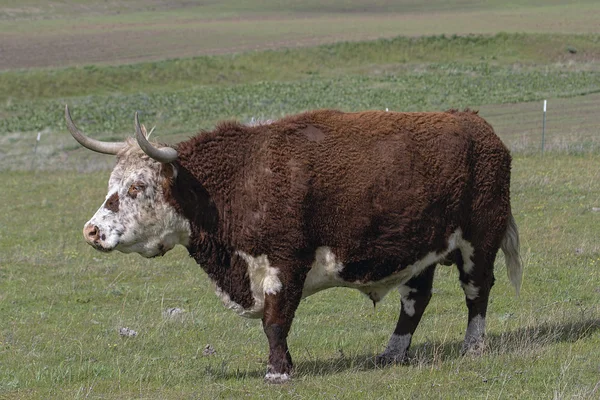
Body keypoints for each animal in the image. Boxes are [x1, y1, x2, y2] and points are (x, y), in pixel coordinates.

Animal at [63, 105, 520, 384]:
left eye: (137, 187)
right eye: (112, 183)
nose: (91, 231)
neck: (240, 181)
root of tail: (479, 127)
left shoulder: (285, 263)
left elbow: (275, 320)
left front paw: (278, 371)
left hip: (480, 238)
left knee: (477, 291)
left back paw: (473, 346)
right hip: (419, 251)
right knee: (415, 300)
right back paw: (392, 353)